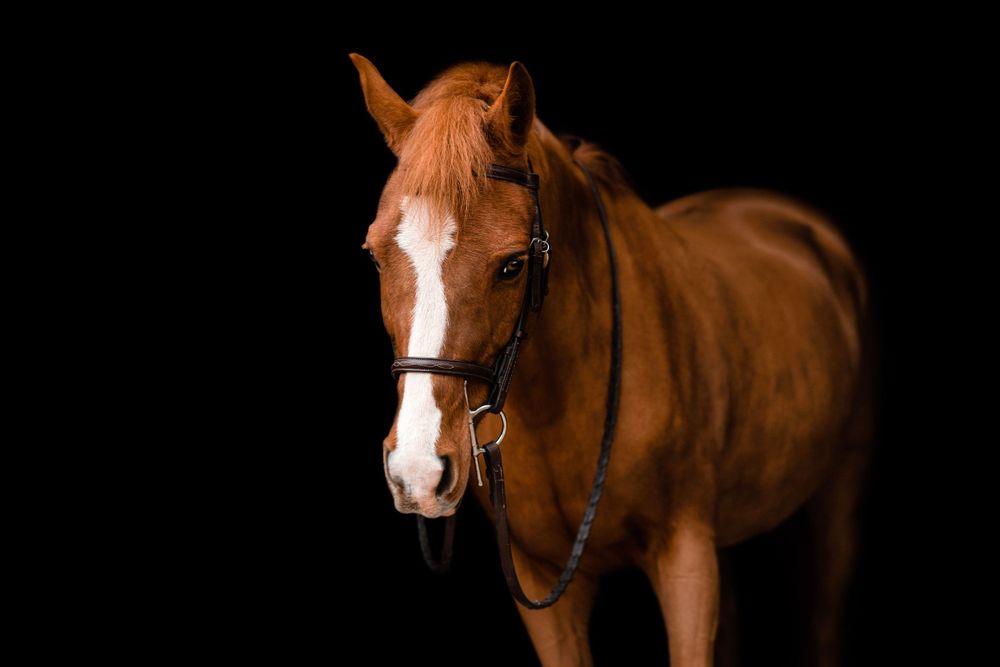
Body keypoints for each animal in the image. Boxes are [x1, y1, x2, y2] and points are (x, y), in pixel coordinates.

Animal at [350, 54, 873, 667]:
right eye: (374, 256)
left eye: (512, 264)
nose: (419, 470)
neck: (567, 403)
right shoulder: (541, 580)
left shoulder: (686, 560)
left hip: (838, 495)